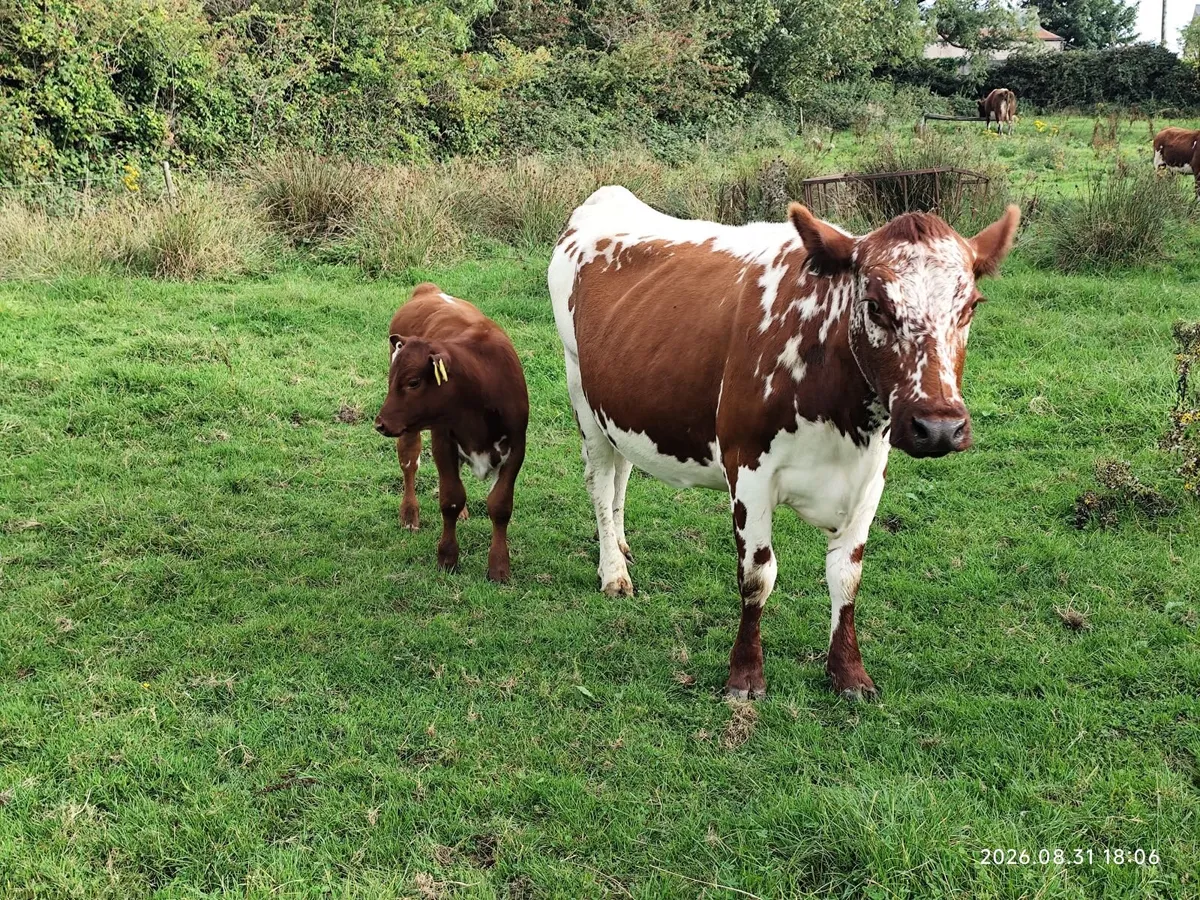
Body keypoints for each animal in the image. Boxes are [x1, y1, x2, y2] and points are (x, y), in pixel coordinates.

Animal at [374, 282, 528, 583]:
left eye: (413, 382)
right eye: (392, 381)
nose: (380, 423)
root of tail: (428, 289)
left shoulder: (517, 447)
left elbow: (500, 505)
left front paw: (499, 567)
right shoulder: (443, 441)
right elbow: (451, 500)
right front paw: (447, 558)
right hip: (408, 429)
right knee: (409, 464)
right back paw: (409, 515)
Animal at [548, 186, 1019, 700]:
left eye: (971, 305)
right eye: (875, 305)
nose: (938, 428)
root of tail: (608, 197)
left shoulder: (870, 477)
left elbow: (846, 576)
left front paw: (848, 673)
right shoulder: (748, 469)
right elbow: (758, 576)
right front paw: (745, 676)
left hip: (622, 406)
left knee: (623, 473)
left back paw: (620, 545)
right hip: (581, 392)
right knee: (600, 480)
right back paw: (613, 570)